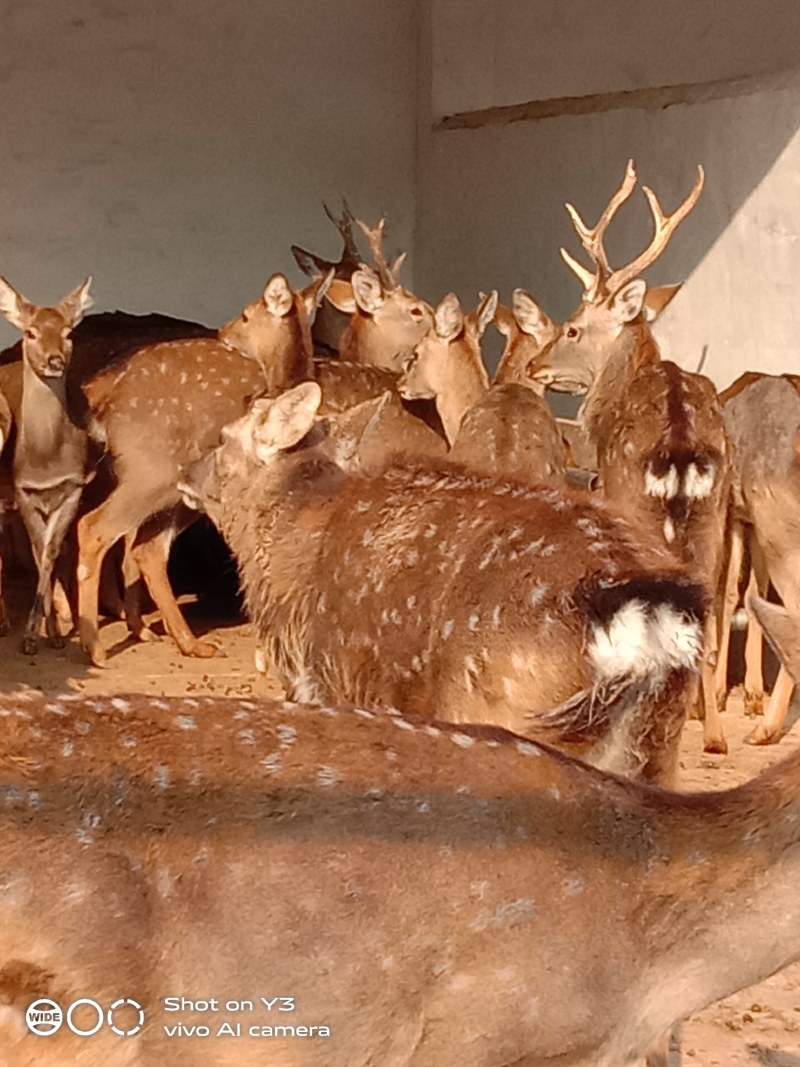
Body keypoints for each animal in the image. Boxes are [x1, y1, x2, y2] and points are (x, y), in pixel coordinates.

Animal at [76, 272, 332, 668]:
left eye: (246, 315)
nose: (223, 330)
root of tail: (98, 393)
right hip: (151, 472)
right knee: (94, 528)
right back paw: (96, 648)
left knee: (144, 548)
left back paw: (185, 641)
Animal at [179, 381, 705, 790]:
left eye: (224, 436)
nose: (185, 473)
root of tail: (645, 622)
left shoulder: (328, 685)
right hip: (657, 746)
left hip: (507, 708)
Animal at [527, 161, 730, 757]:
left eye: (573, 326)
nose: (536, 365)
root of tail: (682, 448)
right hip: (715, 516)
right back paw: (712, 736)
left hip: (634, 503)